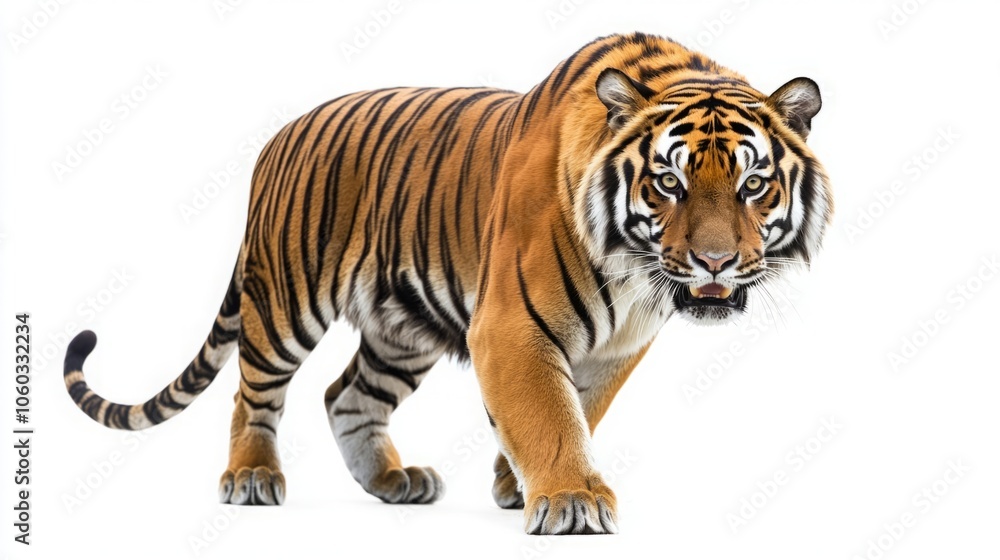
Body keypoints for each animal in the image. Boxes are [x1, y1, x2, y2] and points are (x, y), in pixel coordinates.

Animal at [63, 31, 832, 535]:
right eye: (669, 183)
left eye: (753, 184)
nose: (715, 263)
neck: (634, 273)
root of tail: (278, 136)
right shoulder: (511, 327)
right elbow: (549, 413)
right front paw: (572, 499)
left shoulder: (617, 348)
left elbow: (578, 410)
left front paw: (516, 483)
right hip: (286, 301)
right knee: (254, 392)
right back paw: (252, 477)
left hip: (401, 329)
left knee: (347, 396)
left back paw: (392, 482)